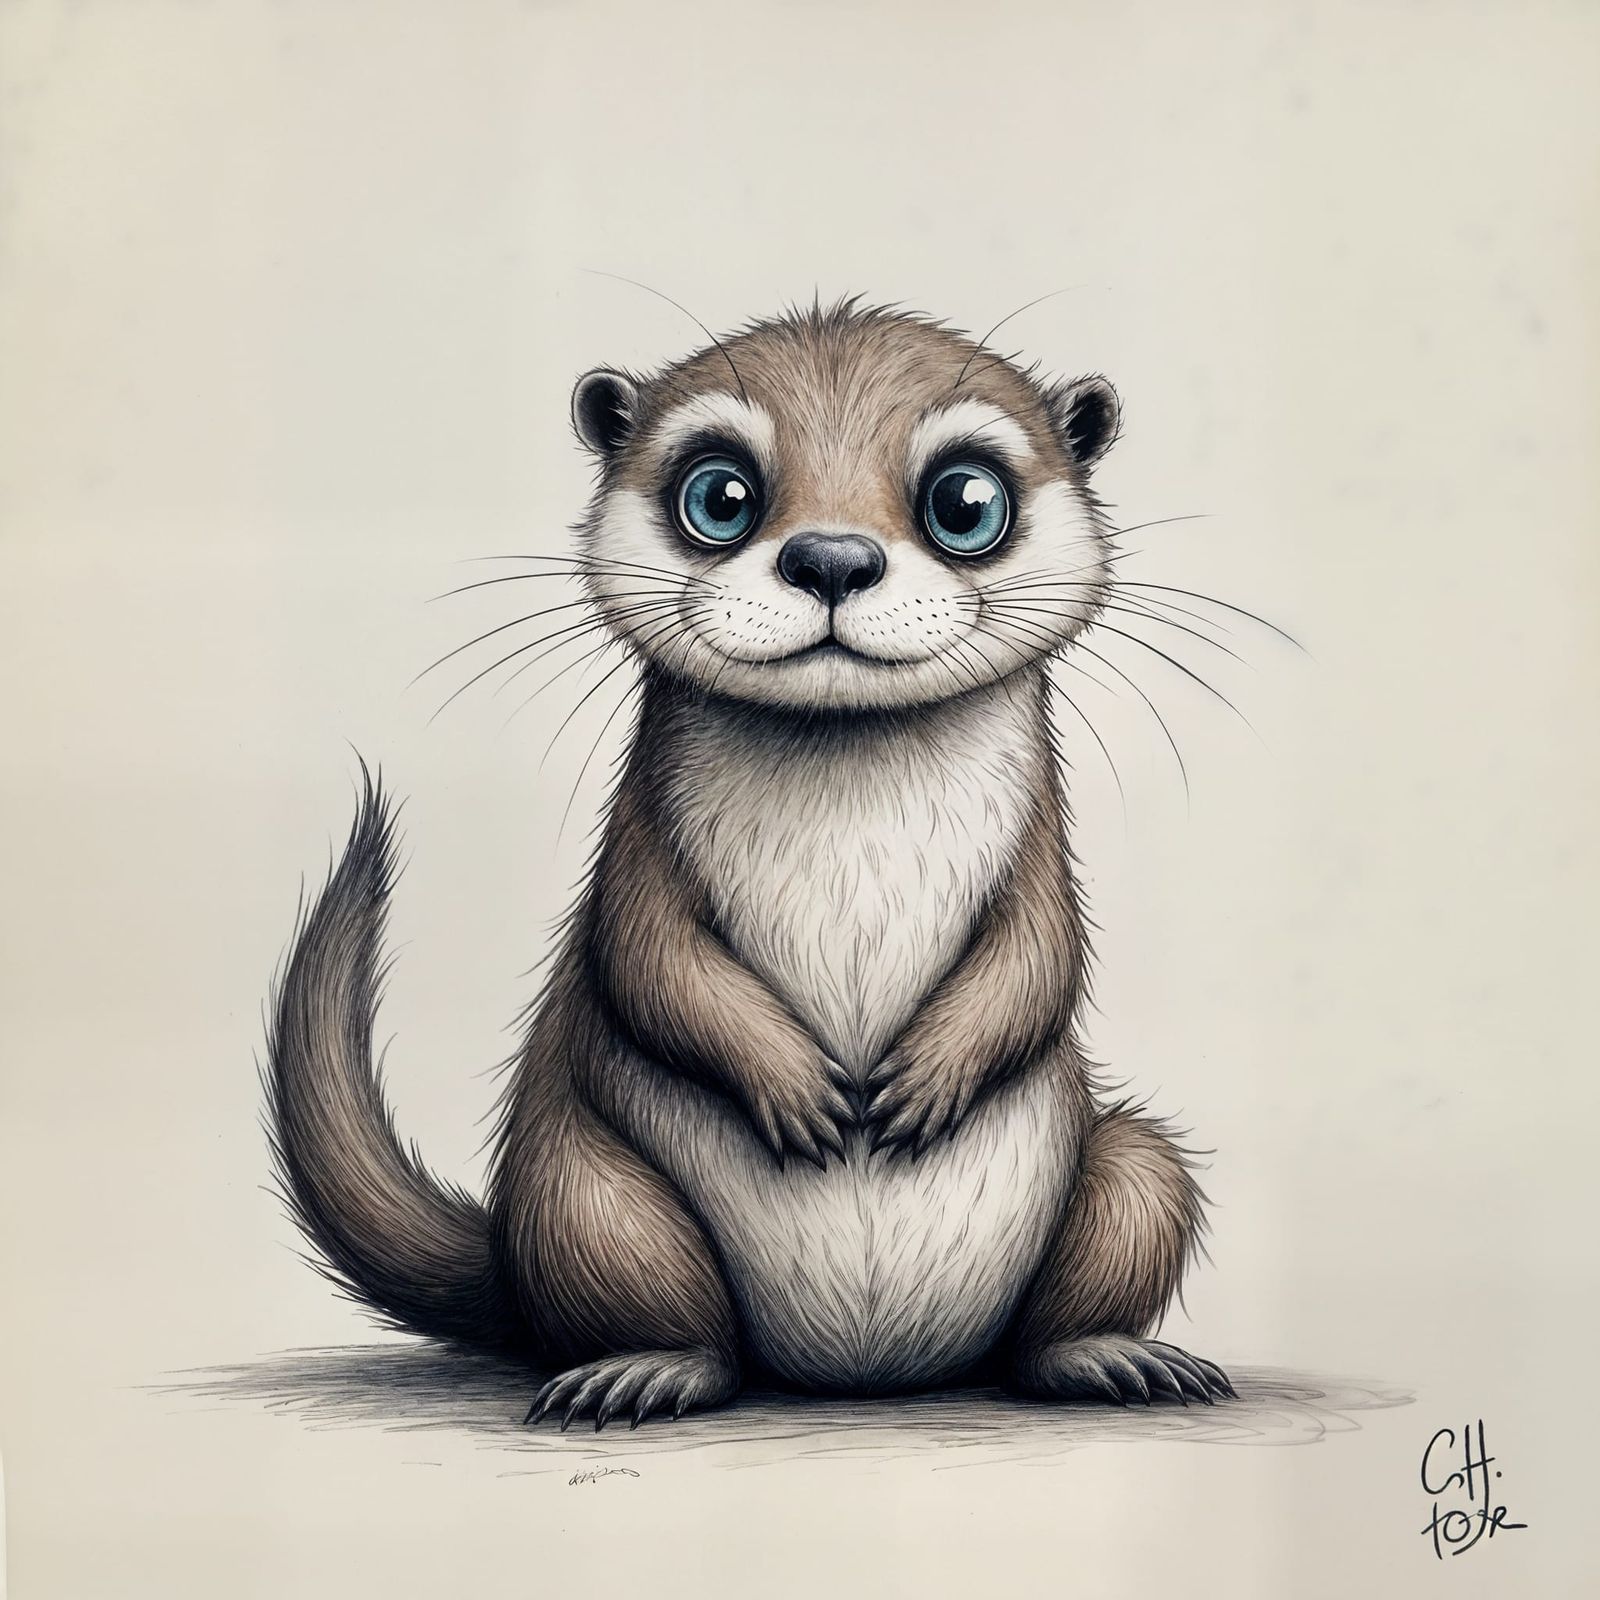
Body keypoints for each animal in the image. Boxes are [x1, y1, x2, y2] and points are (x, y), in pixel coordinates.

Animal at [265, 298, 1233, 1430]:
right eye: (719, 495)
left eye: (965, 500)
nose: (831, 558)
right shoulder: (639, 848)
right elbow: (649, 957)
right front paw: (794, 1086)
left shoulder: (1040, 854)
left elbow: (1042, 955)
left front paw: (927, 1080)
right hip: (585, 1197)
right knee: (667, 1307)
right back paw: (644, 1370)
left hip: (1126, 1168)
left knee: (1112, 1223)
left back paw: (1108, 1356)